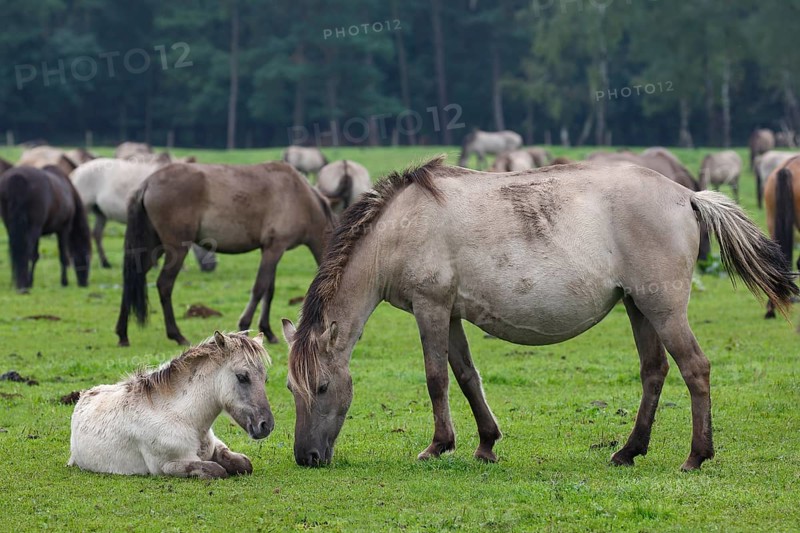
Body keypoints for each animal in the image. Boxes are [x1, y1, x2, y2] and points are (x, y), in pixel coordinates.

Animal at [69, 331, 273, 478]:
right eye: (242, 377)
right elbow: (216, 470)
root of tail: (84, 395)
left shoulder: (217, 446)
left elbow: (244, 463)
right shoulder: (168, 465)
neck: (182, 417)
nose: (266, 425)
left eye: (265, 378)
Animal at [116, 161, 334, 347]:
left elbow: (268, 291)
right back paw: (177, 335)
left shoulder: (270, 250)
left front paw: (269, 332)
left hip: (154, 246)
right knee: (164, 284)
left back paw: (123, 334)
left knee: (132, 280)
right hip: (176, 248)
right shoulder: (274, 249)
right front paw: (245, 325)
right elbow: (260, 288)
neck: (299, 197)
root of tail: (148, 183)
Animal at [282, 156, 796, 470]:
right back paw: (629, 451)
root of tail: (687, 196)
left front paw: (438, 445)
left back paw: (696, 456)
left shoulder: (430, 309)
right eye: (290, 388)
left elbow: (436, 377)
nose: (306, 456)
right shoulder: (450, 314)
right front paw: (486, 443)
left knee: (695, 369)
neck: (400, 226)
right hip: (639, 307)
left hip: (664, 310)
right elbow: (466, 375)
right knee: (655, 372)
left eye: (322, 387)